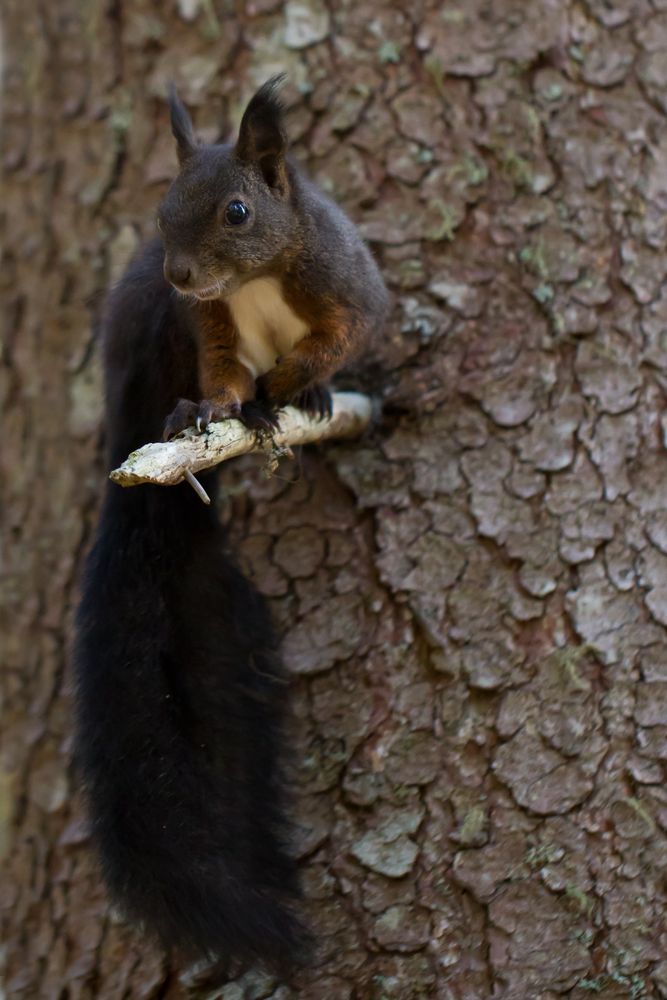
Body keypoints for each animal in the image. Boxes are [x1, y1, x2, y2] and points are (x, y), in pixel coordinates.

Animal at [72, 76, 388, 984]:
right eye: (160, 209)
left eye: (238, 211)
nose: (181, 272)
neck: (249, 283)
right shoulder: (207, 327)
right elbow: (222, 374)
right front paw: (221, 408)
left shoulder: (344, 289)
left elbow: (340, 337)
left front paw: (296, 388)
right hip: (154, 331)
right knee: (171, 391)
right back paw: (183, 418)